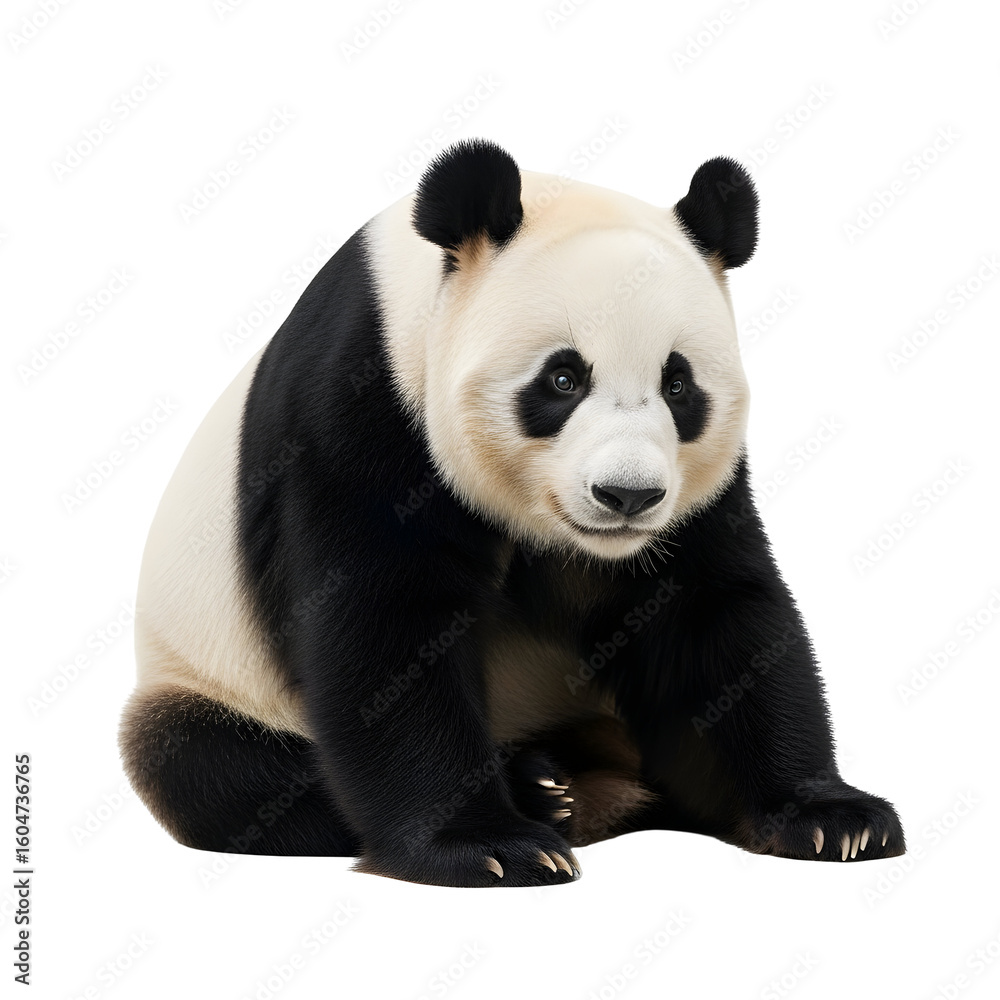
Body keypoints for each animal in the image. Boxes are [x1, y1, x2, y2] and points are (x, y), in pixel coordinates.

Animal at [119, 139, 905, 887]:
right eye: (562, 378)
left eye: (678, 386)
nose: (627, 496)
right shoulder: (358, 411)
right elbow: (383, 627)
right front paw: (488, 847)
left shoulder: (698, 501)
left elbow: (716, 620)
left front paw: (831, 818)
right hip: (204, 675)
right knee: (210, 766)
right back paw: (541, 792)